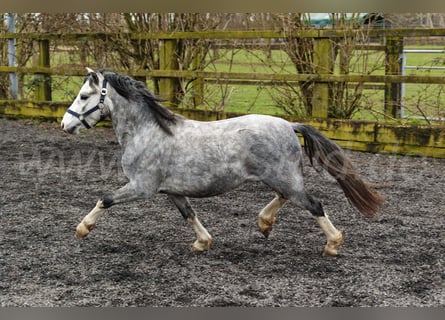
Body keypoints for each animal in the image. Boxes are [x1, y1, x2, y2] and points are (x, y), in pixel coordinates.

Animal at [60, 69, 384, 256]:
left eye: (84, 95)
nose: (65, 124)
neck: (146, 131)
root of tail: (289, 124)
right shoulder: (172, 191)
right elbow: (189, 214)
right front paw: (202, 242)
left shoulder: (142, 187)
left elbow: (105, 198)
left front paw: (82, 229)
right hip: (281, 177)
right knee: (285, 198)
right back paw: (264, 224)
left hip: (283, 177)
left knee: (314, 204)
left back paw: (332, 244)